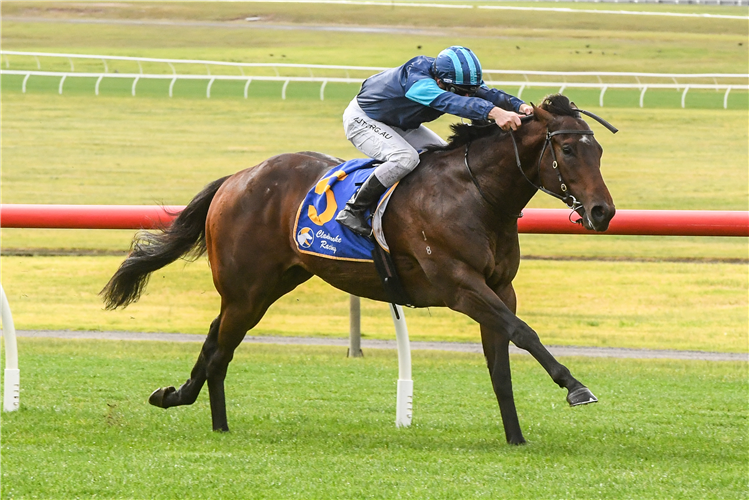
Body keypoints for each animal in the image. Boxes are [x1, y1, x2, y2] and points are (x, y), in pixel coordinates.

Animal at [101, 94, 612, 446]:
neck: (475, 194)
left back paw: (199, 410)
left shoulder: (500, 288)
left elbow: (501, 362)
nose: (602, 211)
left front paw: (516, 437)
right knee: (220, 347)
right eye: (569, 150)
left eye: (599, 151)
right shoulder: (459, 285)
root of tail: (237, 178)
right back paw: (198, 409)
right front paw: (575, 387)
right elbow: (524, 332)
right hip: (247, 289)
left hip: (267, 285)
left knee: (216, 339)